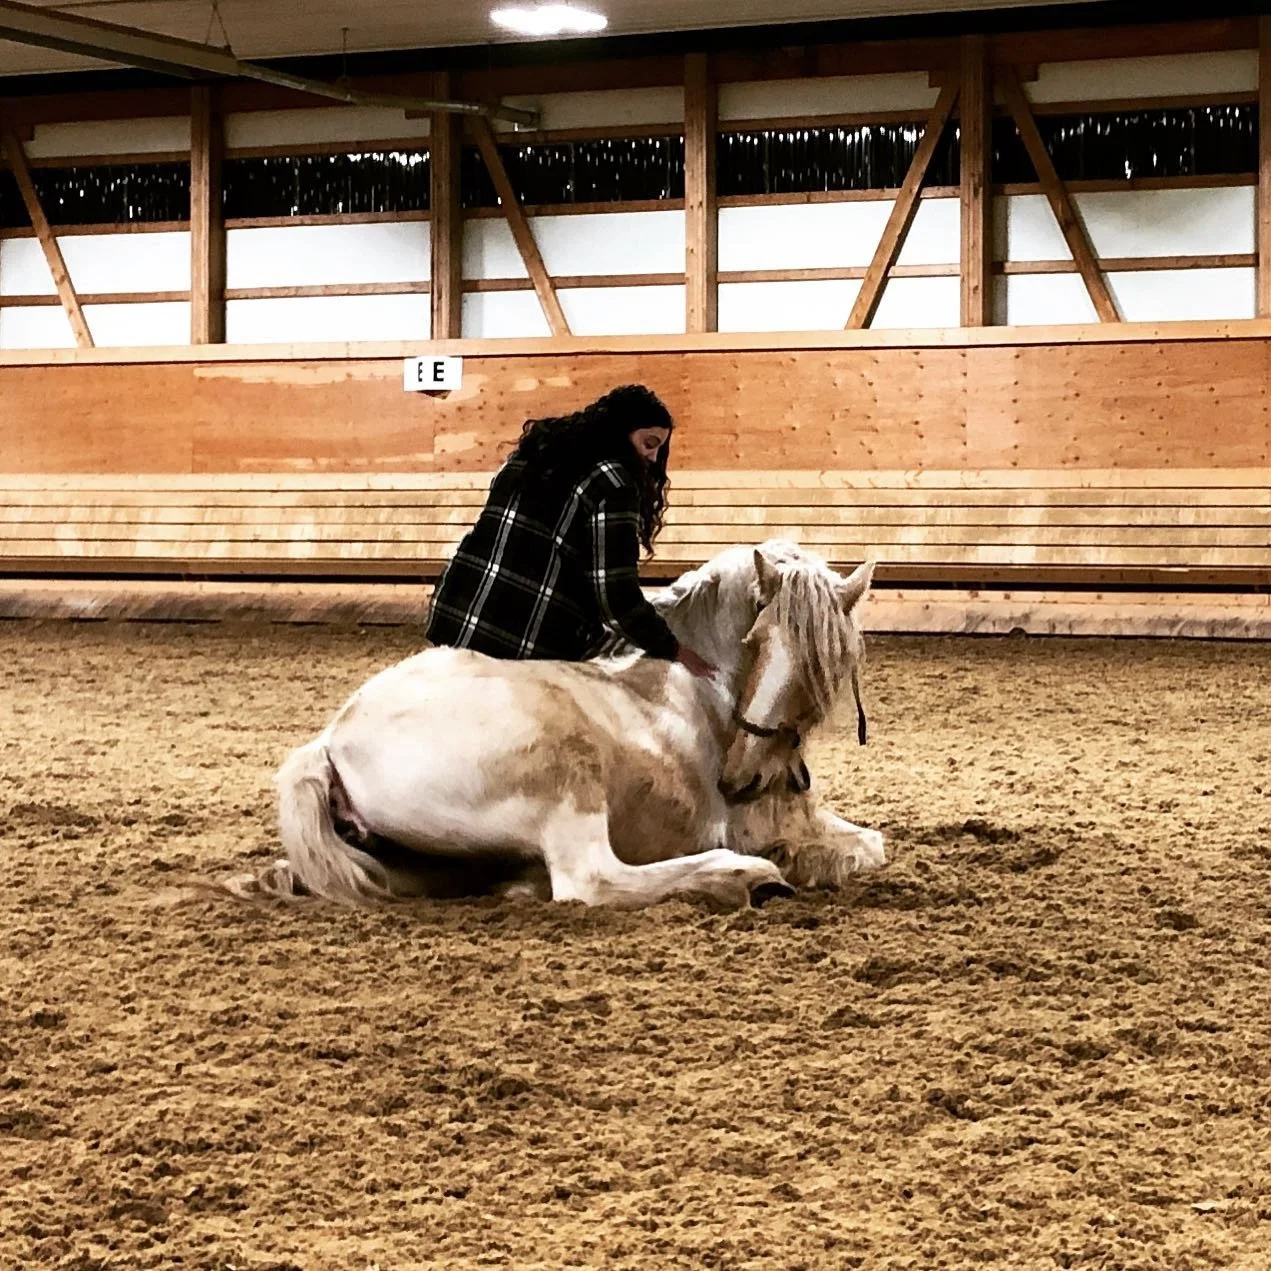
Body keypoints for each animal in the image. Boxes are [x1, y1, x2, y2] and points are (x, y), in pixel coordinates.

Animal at [227, 540, 886, 911]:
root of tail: (330, 742)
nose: (744, 779)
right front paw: (796, 861)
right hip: (567, 781)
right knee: (588, 881)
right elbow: (864, 848)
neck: (703, 687)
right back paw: (743, 879)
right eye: (756, 639)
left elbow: (869, 843)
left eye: (830, 666)